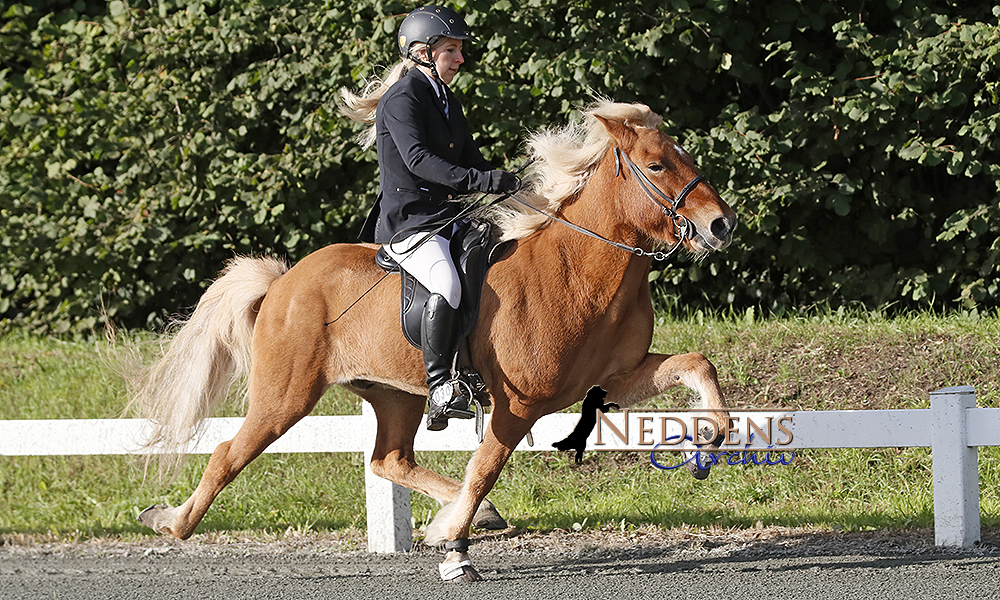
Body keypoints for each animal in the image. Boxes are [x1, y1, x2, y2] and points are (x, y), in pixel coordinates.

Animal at [131, 102, 736, 580]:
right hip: (285, 396)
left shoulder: (612, 378)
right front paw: (453, 546)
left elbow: (697, 363)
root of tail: (282, 281)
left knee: (389, 461)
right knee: (229, 453)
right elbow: (486, 466)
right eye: (657, 165)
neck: (581, 266)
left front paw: (712, 438)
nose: (721, 225)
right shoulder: (519, 405)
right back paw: (170, 522)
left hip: (395, 393)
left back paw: (470, 516)